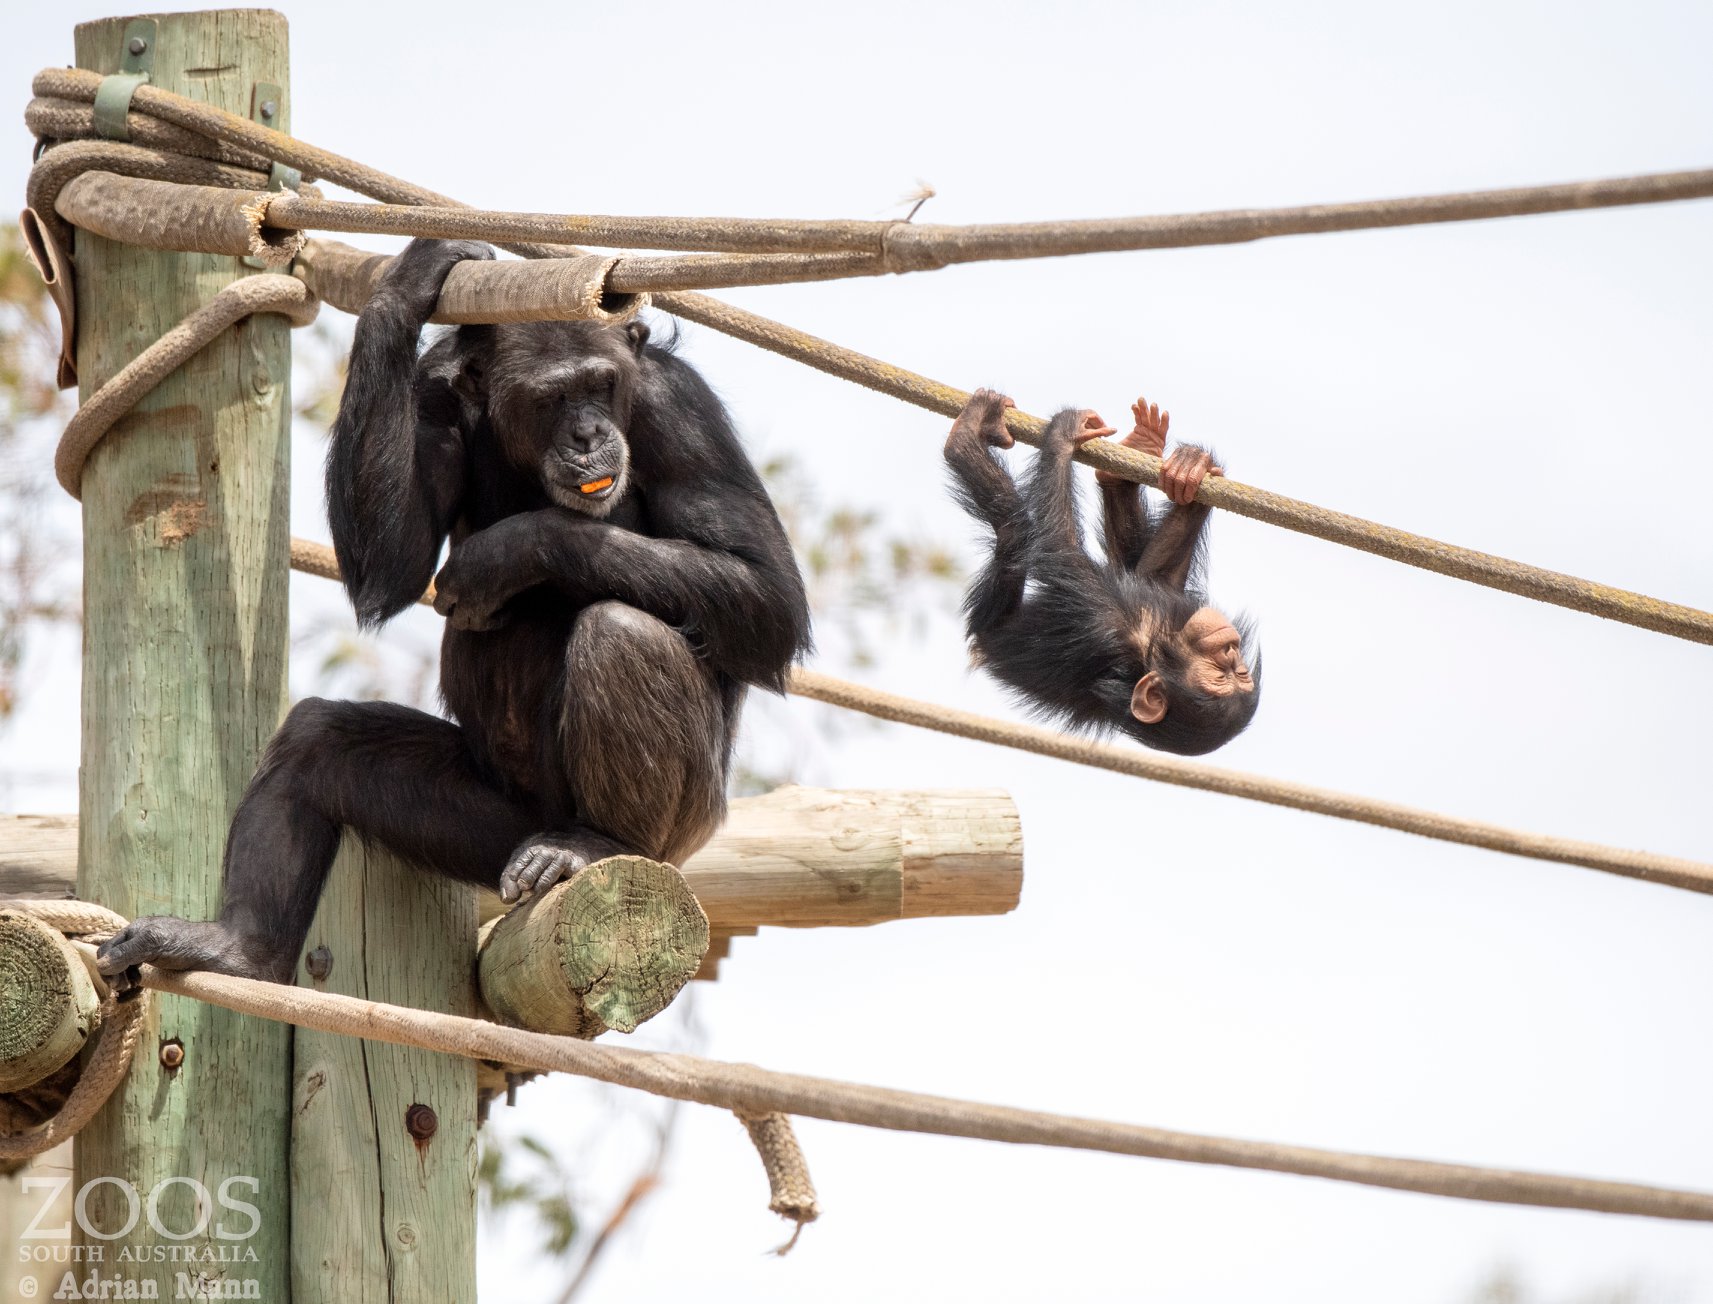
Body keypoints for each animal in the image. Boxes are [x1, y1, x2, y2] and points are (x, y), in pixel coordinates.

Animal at [98, 239, 808, 980]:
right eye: (552, 397)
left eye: (601, 384)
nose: (588, 433)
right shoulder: (429, 391)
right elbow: (391, 567)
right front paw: (407, 284)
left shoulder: (680, 409)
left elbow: (768, 593)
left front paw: (509, 550)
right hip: (493, 828)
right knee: (319, 739)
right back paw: (237, 948)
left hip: (684, 832)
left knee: (622, 634)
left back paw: (592, 842)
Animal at [938, 383, 1260, 753]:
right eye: (1231, 672)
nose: (1231, 652)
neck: (1150, 647)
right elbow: (1155, 577)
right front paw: (1192, 470)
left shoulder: (1108, 622)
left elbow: (1059, 548)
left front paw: (1063, 435)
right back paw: (1138, 454)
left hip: (993, 609)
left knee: (1014, 526)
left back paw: (967, 438)